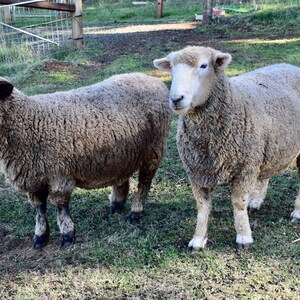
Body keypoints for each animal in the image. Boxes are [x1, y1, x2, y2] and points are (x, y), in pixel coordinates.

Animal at [0, 72, 171, 248]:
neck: (28, 121)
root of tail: (153, 80)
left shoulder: (59, 173)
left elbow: (61, 204)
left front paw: (67, 234)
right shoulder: (33, 179)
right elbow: (39, 208)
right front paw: (40, 236)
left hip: (154, 148)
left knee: (144, 182)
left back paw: (136, 212)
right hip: (123, 153)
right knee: (123, 177)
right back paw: (116, 205)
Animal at [154, 45, 300, 250]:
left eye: (204, 65)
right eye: (171, 68)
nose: (176, 99)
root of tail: (289, 65)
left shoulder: (246, 167)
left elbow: (238, 203)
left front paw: (244, 237)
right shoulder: (196, 171)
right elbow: (202, 207)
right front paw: (198, 239)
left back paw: (297, 212)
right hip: (268, 146)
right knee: (265, 174)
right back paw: (256, 201)